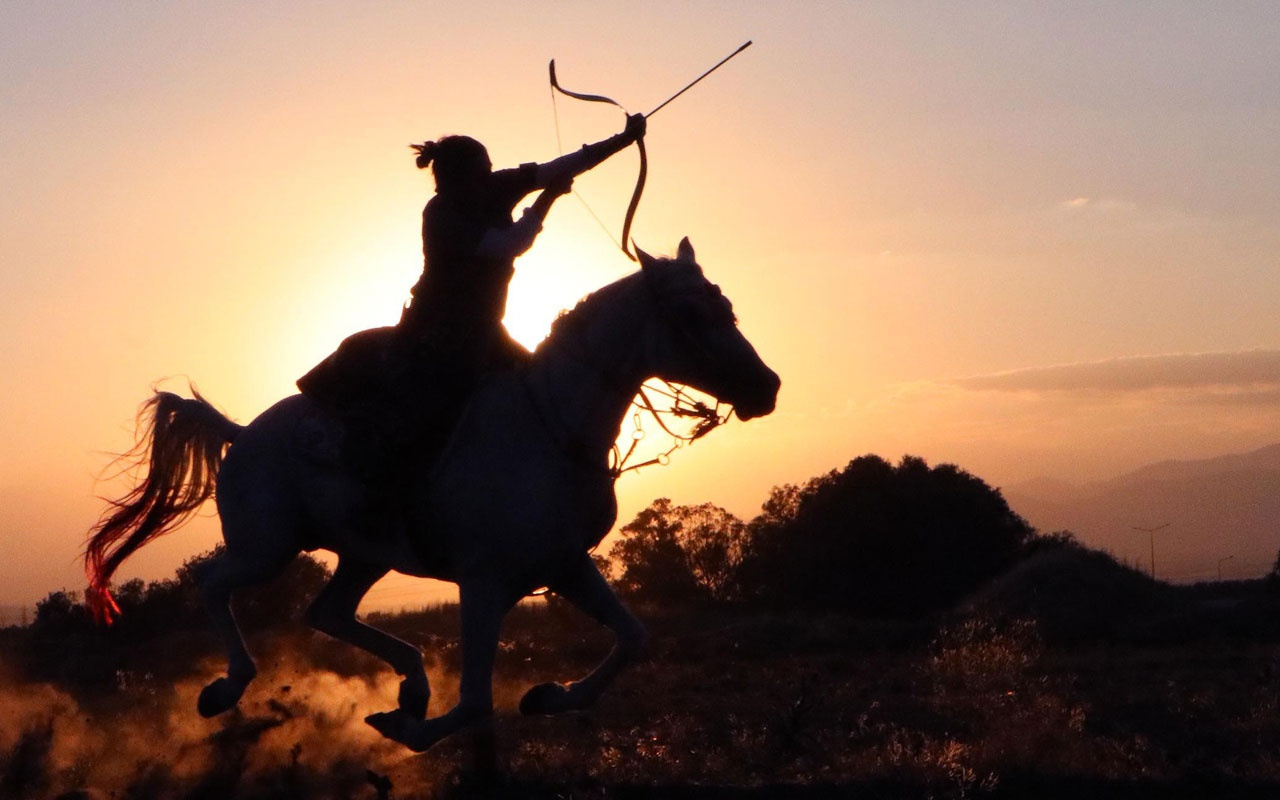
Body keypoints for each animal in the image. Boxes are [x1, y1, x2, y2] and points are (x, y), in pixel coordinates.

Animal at [85, 236, 778, 747]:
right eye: (691, 313)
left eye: (727, 306)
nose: (765, 387)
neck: (551, 423)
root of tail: (242, 433)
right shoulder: (486, 581)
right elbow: (473, 702)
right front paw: (412, 730)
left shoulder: (565, 565)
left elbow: (633, 637)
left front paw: (549, 695)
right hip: (267, 548)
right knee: (214, 586)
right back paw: (229, 687)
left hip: (364, 553)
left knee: (327, 611)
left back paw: (412, 684)